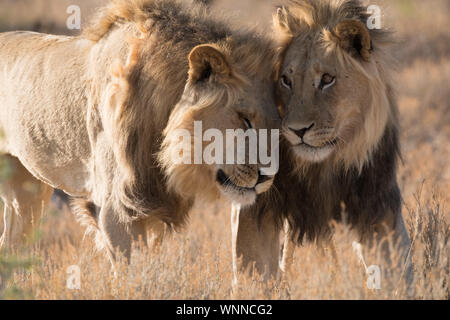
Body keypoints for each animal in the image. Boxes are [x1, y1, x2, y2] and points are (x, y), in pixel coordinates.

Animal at [0, 0, 280, 264]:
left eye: (278, 125)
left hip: (29, 192)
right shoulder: (115, 208)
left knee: (11, 244)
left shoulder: (154, 205)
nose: (267, 176)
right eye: (244, 119)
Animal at [232, 0, 414, 292]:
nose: (297, 130)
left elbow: (395, 270)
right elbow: (254, 270)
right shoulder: (258, 208)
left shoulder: (377, 204)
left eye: (327, 79)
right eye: (286, 80)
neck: (322, 166)